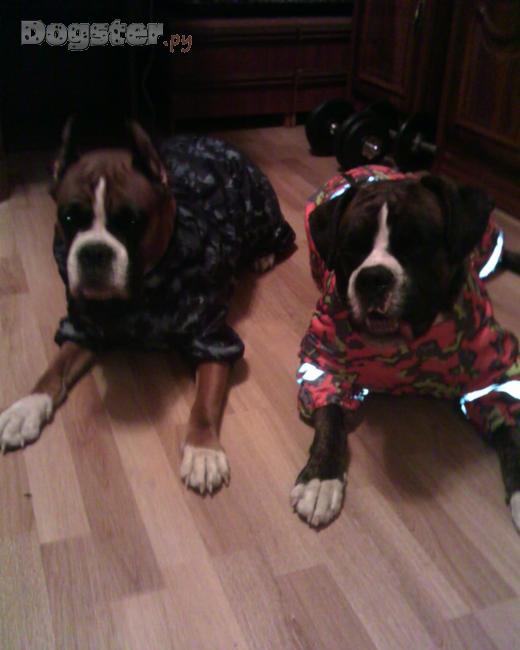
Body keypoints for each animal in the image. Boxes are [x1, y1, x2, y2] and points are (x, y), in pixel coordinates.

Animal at [0, 117, 295, 494]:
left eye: (131, 221)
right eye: (68, 218)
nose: (94, 252)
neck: (139, 295)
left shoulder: (213, 340)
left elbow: (205, 402)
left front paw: (203, 450)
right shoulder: (84, 326)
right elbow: (54, 368)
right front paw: (27, 406)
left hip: (263, 217)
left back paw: (262, 255)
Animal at [292, 165, 520, 530]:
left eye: (417, 244)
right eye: (351, 246)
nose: (372, 277)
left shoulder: (495, 377)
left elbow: (511, 428)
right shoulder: (324, 363)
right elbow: (330, 419)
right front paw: (320, 478)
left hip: (486, 246)